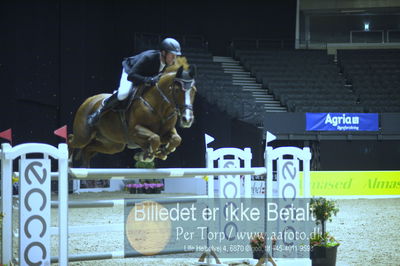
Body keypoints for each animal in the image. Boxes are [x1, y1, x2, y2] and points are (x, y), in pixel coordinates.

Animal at [68, 58, 196, 166]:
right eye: (177, 90)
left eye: (194, 91)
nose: (187, 119)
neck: (161, 109)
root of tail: (88, 100)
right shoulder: (134, 131)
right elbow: (155, 138)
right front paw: (146, 155)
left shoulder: (166, 132)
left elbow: (176, 139)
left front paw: (163, 152)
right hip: (83, 136)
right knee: (71, 140)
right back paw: (69, 162)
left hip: (112, 145)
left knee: (87, 149)